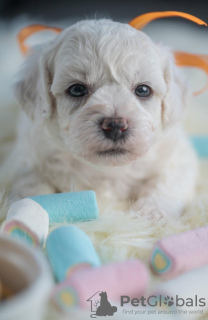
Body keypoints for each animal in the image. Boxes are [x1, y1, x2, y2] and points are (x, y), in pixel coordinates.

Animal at [0, 18, 198, 219]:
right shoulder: (25, 159)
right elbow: (31, 188)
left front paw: (150, 215)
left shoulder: (177, 157)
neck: (107, 170)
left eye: (143, 90)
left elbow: (166, 183)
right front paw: (27, 214)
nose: (115, 126)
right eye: (77, 89)